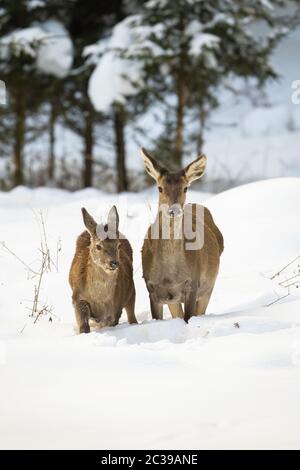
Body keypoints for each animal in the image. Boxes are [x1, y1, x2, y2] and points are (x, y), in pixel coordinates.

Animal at [141, 148, 223, 324]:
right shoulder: (152, 288)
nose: (174, 210)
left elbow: (188, 317)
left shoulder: (192, 283)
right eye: (160, 188)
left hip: (209, 287)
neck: (169, 276)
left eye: (185, 188)